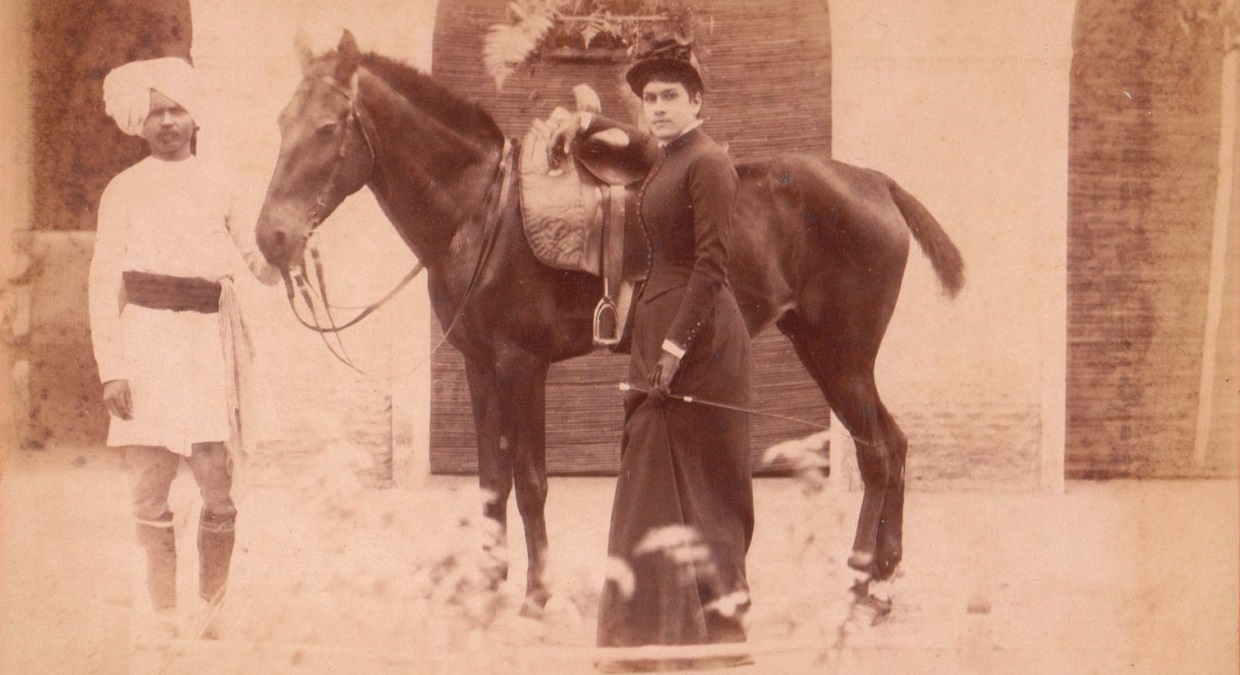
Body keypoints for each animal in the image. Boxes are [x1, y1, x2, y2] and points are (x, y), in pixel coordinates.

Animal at [256, 30, 962, 610]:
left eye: (327, 127)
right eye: (281, 122)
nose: (271, 238)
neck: (482, 211)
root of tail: (874, 182)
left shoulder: (521, 365)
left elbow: (531, 481)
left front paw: (536, 596)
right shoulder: (479, 364)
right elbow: (490, 482)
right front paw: (487, 585)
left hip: (841, 356)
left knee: (879, 454)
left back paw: (867, 586)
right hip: (829, 354)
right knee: (891, 446)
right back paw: (876, 576)